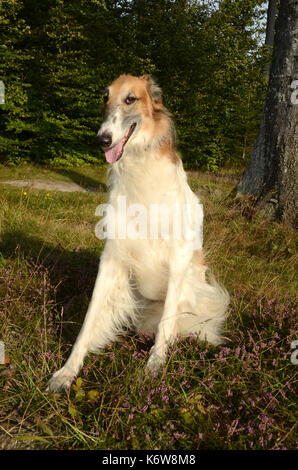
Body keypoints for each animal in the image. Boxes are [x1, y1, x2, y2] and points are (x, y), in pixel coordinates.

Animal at [47, 74, 228, 392]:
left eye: (131, 98)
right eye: (104, 97)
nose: (102, 139)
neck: (140, 167)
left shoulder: (178, 259)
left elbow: (166, 326)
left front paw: (153, 368)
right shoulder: (112, 258)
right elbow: (88, 321)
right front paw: (66, 372)